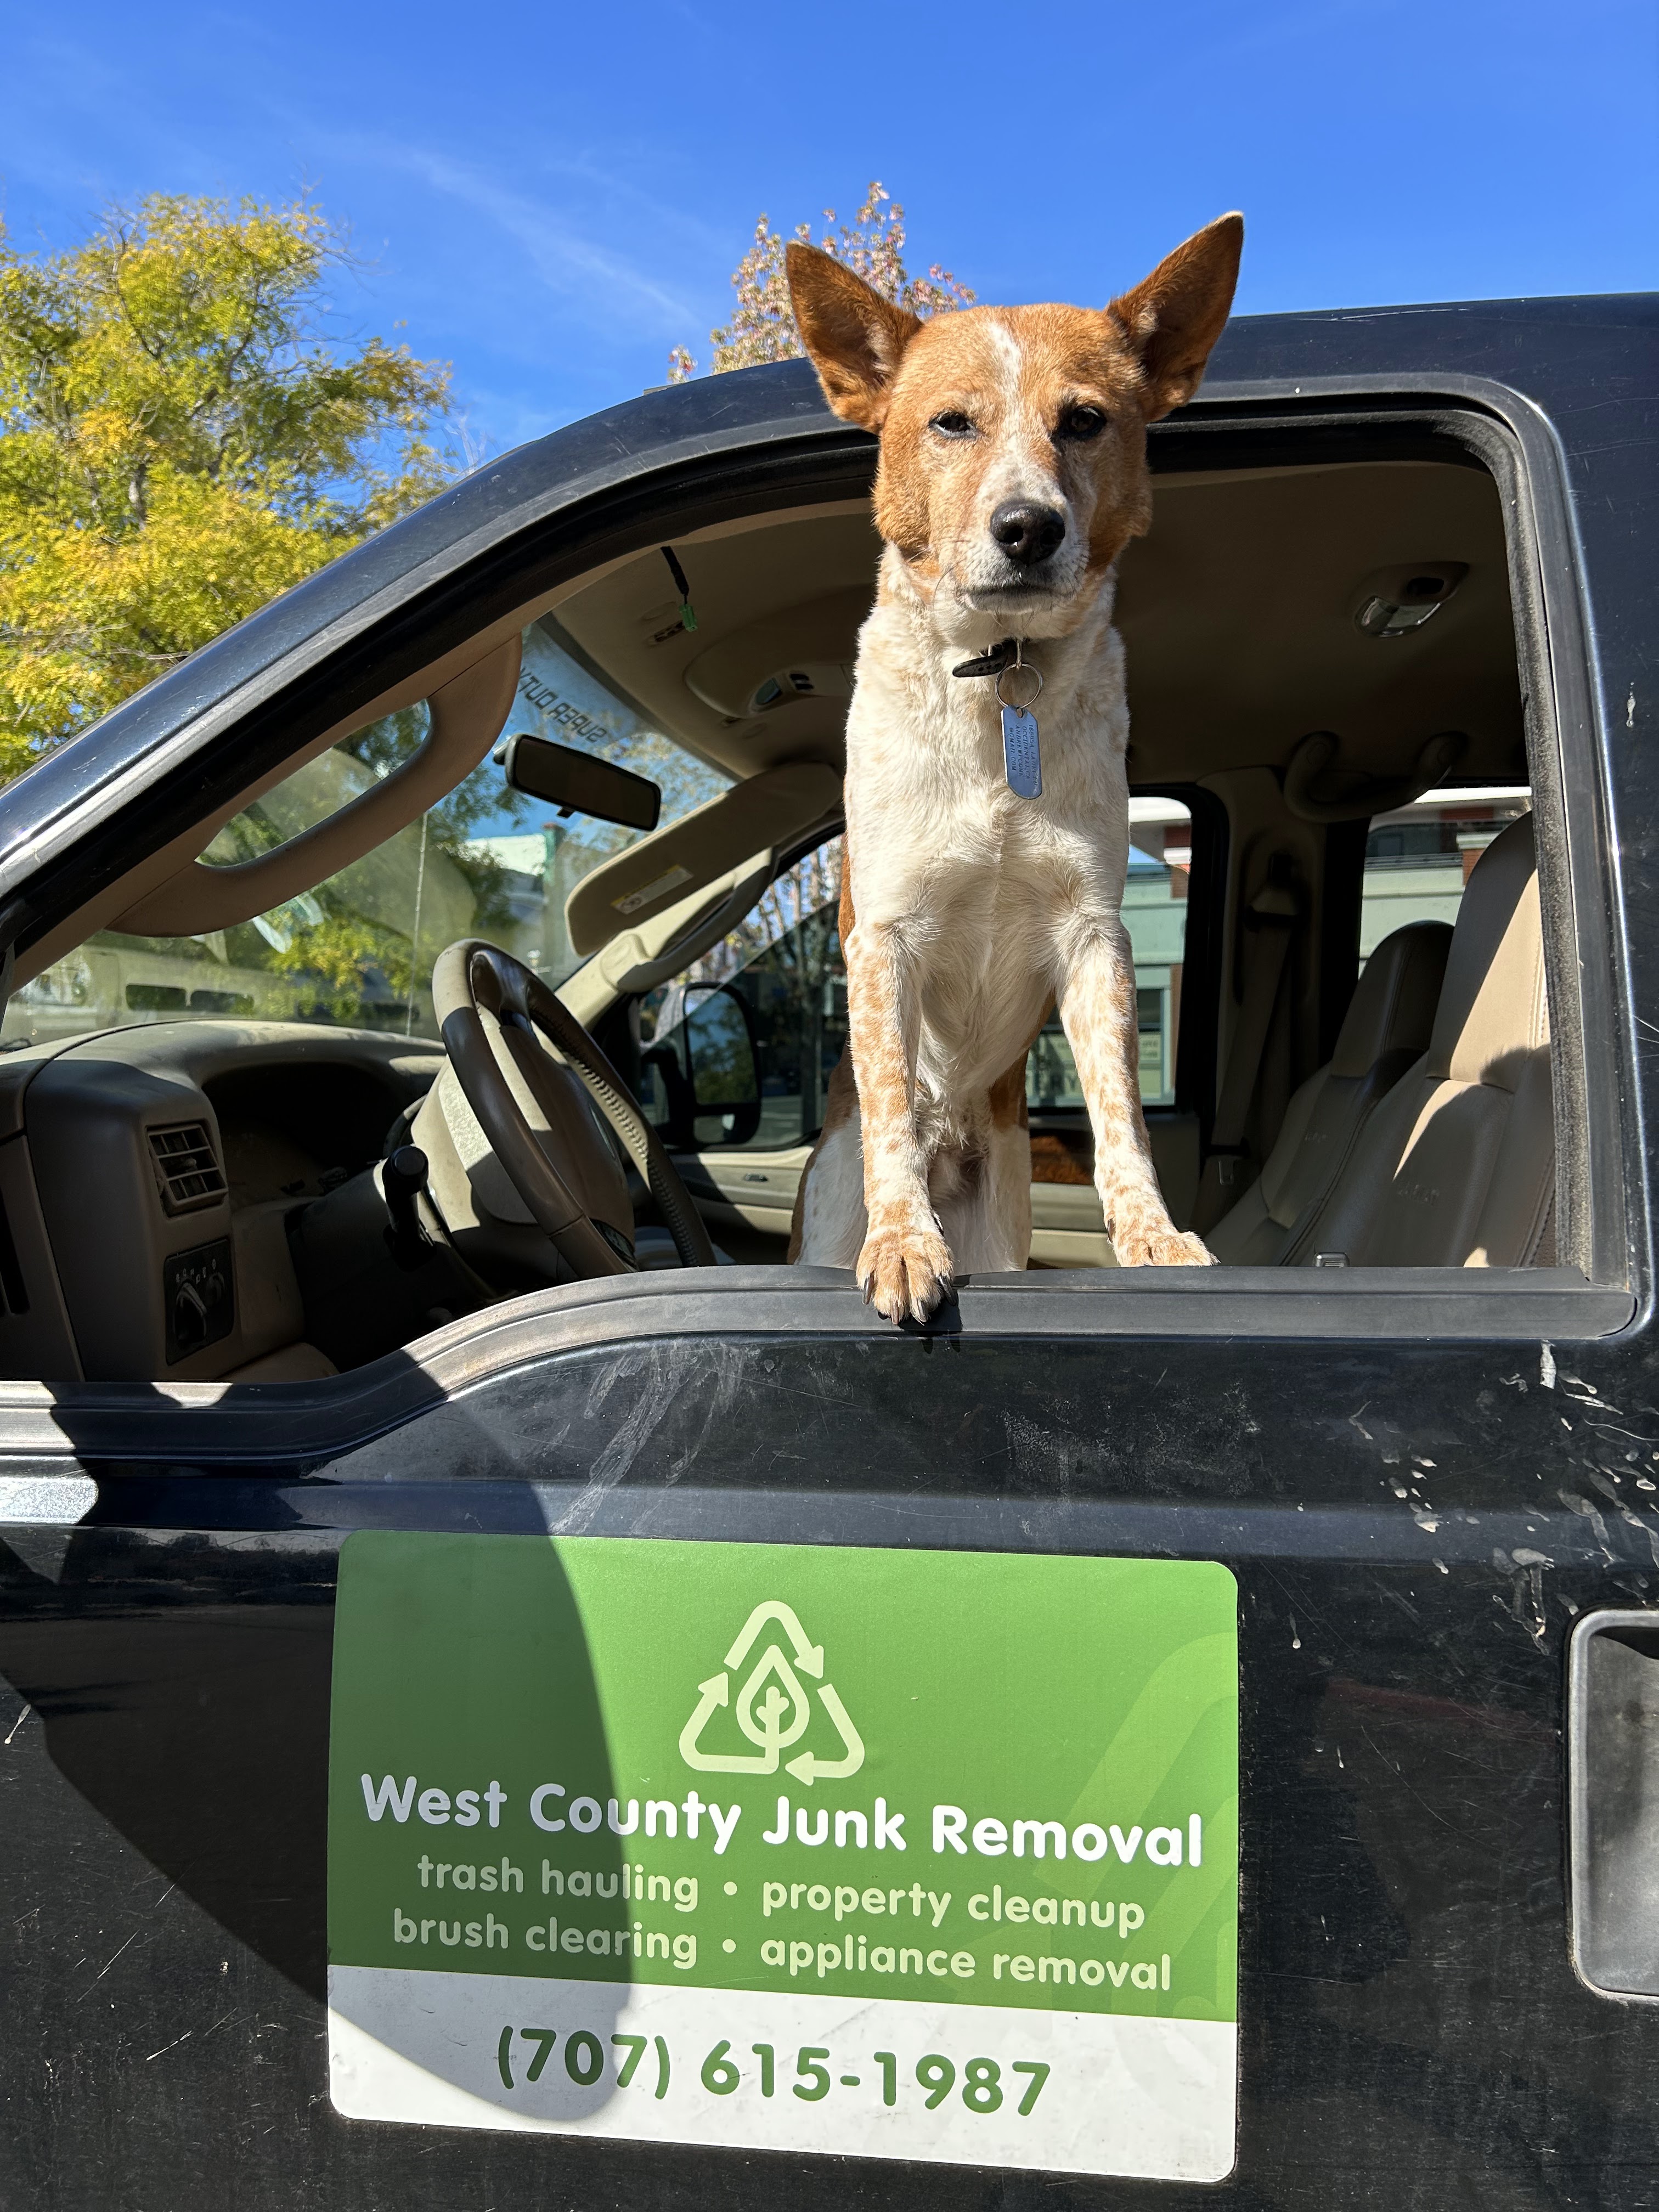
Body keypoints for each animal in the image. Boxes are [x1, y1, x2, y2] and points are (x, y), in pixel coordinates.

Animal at [787, 211, 1238, 1309]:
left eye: (1083, 420)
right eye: (952, 423)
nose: (1028, 527)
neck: (1002, 684)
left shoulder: (1094, 940)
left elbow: (1121, 1113)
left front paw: (1153, 1236)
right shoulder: (884, 941)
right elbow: (889, 1110)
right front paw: (902, 1240)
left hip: (1002, 1220)